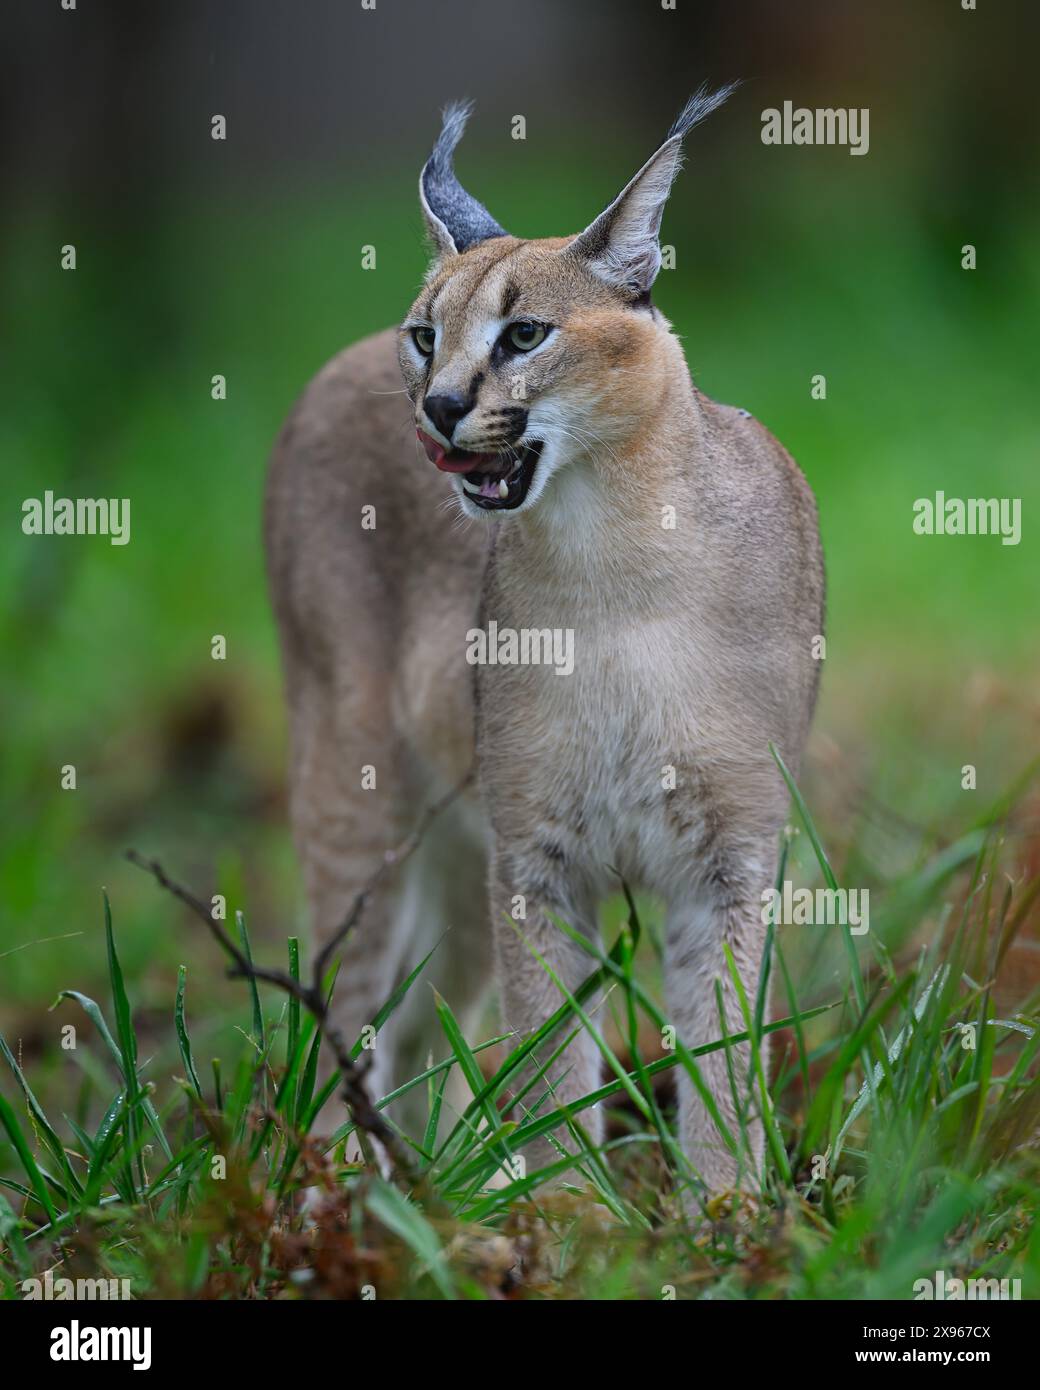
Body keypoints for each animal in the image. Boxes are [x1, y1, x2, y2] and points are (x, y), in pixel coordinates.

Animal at [264, 86, 823, 1195]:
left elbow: (723, 1054)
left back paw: (425, 1184)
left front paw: (728, 1207)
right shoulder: (535, 858)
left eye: (525, 333)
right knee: (346, 1011)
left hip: (456, 843)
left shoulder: (731, 854)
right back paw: (345, 1186)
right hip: (356, 785)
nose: (439, 404)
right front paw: (569, 1208)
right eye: (425, 335)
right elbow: (549, 1054)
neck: (618, 556)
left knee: (416, 1024)